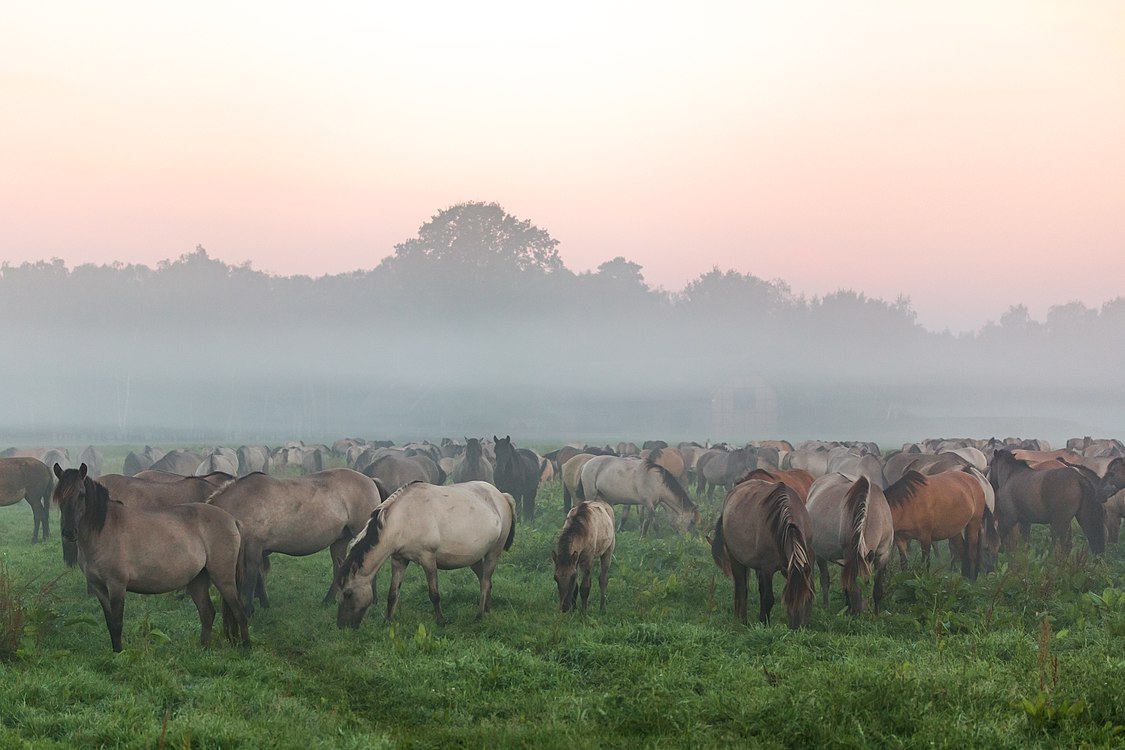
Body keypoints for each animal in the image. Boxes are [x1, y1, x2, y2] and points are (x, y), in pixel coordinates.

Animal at [53, 463, 250, 652]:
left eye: (81, 494)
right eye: (59, 497)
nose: (69, 532)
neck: (103, 531)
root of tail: (232, 520)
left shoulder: (117, 586)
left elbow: (117, 623)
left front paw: (119, 654)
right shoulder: (99, 587)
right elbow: (109, 623)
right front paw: (115, 651)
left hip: (223, 578)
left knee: (239, 611)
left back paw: (246, 647)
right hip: (198, 579)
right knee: (207, 613)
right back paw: (204, 649)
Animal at [209, 470, 389, 616]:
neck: (240, 503)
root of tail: (370, 480)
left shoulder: (253, 547)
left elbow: (252, 579)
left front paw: (248, 611)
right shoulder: (258, 550)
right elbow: (259, 577)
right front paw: (264, 604)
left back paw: (372, 601)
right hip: (339, 541)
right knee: (338, 569)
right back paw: (328, 601)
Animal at [335, 481, 515, 629]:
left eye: (348, 593)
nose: (342, 626)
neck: (403, 519)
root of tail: (501, 496)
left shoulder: (428, 559)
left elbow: (434, 594)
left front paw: (441, 621)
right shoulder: (399, 560)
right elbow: (392, 594)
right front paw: (387, 621)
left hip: (493, 553)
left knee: (485, 583)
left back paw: (479, 616)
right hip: (475, 559)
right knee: (486, 581)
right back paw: (487, 609)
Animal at [706, 481, 814, 629]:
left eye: (805, 598)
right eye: (788, 600)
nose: (795, 628)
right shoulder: (767, 568)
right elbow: (768, 598)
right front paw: (764, 623)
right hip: (736, 560)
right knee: (741, 589)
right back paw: (741, 620)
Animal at [805, 474, 891, 616]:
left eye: (867, 581)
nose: (858, 612)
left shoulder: (883, 554)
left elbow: (878, 588)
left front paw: (877, 613)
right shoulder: (848, 554)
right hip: (818, 553)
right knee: (824, 579)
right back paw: (826, 605)